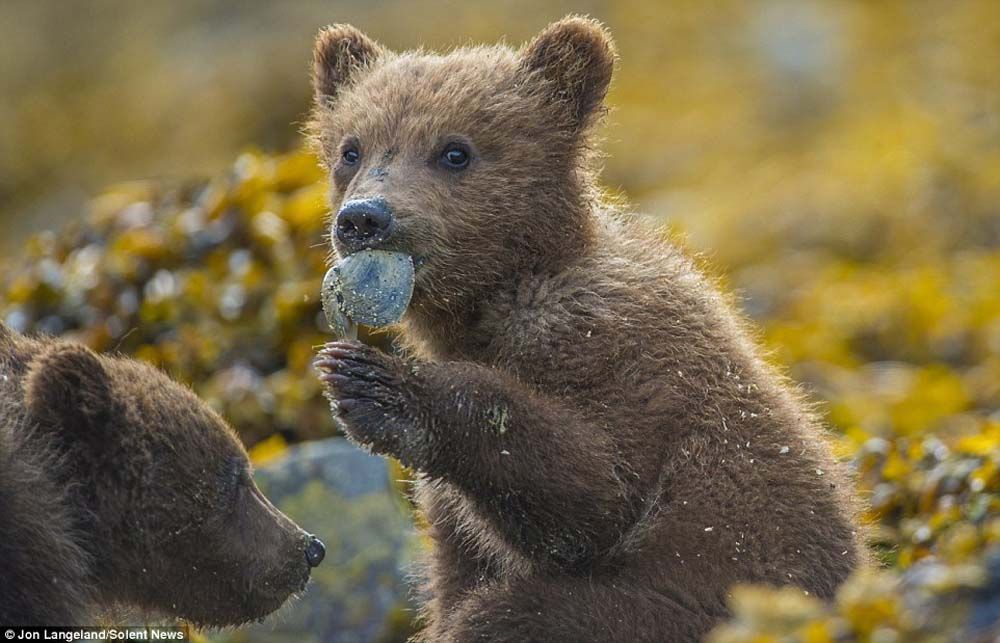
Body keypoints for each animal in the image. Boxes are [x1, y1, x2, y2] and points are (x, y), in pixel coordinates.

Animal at [308, 16, 864, 642]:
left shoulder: (618, 353)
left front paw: (377, 384)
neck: (500, 296)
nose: (364, 218)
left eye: (454, 151)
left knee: (515, 614)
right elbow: (458, 563)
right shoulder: (453, 520)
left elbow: (594, 492)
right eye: (351, 150)